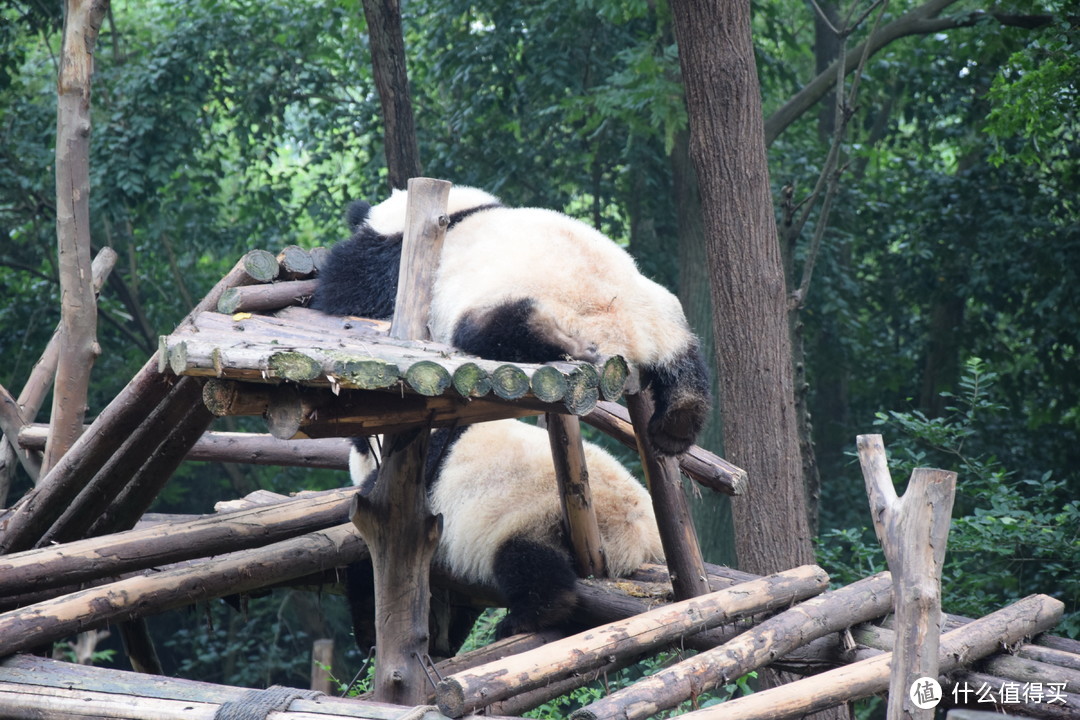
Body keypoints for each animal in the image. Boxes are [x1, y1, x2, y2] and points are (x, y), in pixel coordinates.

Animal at [313, 184, 712, 455]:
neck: (451, 212)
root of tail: (627, 339)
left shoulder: (398, 259)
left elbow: (347, 286)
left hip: (521, 301)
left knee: (493, 328)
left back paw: (561, 340)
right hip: (662, 308)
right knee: (687, 364)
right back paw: (676, 426)